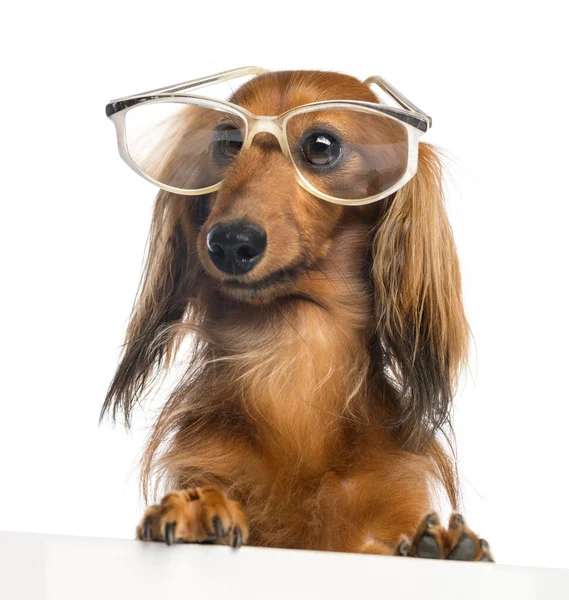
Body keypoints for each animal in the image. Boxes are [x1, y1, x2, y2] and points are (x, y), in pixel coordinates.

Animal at [102, 70, 492, 564]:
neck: (291, 362)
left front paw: (439, 544)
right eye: (228, 141)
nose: (230, 242)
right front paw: (197, 510)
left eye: (321, 145)